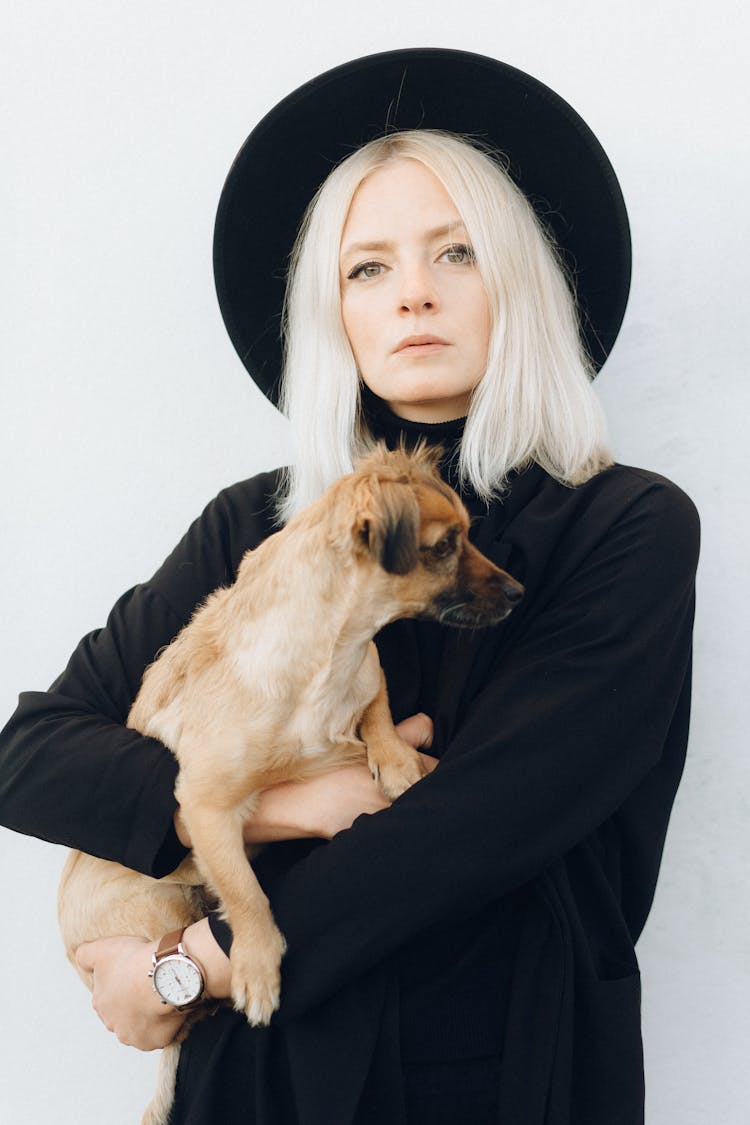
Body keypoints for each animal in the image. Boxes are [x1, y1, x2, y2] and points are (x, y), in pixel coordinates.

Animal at [57, 443, 521, 1120]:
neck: (335, 655)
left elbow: (378, 709)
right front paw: (256, 964)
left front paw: (395, 761)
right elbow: (246, 892)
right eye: (445, 545)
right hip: (163, 904)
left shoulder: (369, 674)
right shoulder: (204, 805)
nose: (518, 591)